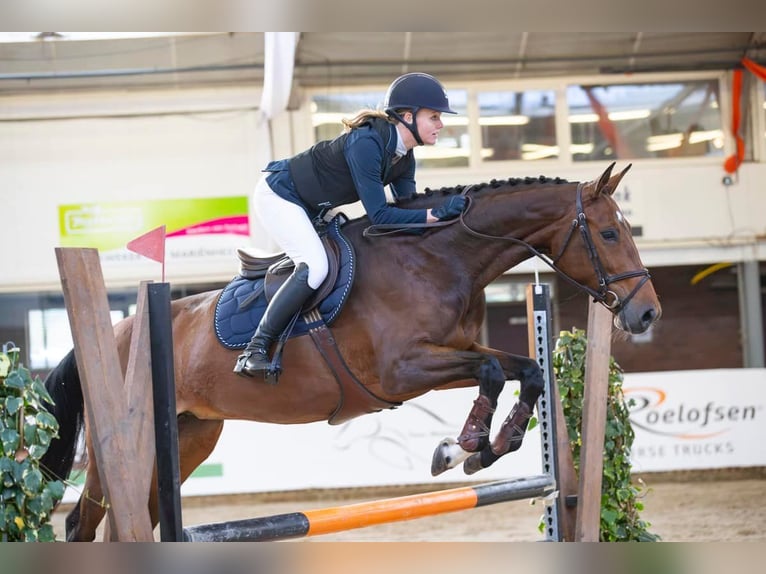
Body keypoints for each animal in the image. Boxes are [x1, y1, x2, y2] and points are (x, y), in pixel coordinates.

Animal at [42, 163, 664, 544]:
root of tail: (119, 329)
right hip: (127, 440)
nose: (646, 315)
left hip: (193, 434)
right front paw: (461, 447)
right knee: (83, 521)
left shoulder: (446, 356)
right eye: (609, 234)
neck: (437, 258)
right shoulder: (402, 369)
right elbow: (492, 370)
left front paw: (486, 448)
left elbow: (526, 370)